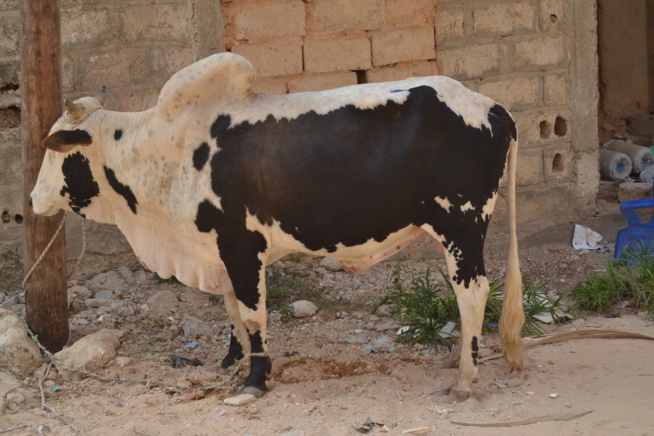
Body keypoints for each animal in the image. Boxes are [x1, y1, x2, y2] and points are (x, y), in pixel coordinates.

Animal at [30, 52, 524, 400]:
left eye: (54, 149)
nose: (33, 200)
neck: (162, 148)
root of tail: (489, 105)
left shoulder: (241, 248)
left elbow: (252, 314)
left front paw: (255, 381)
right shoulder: (219, 255)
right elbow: (231, 311)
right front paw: (231, 362)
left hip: (462, 227)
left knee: (473, 292)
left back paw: (465, 378)